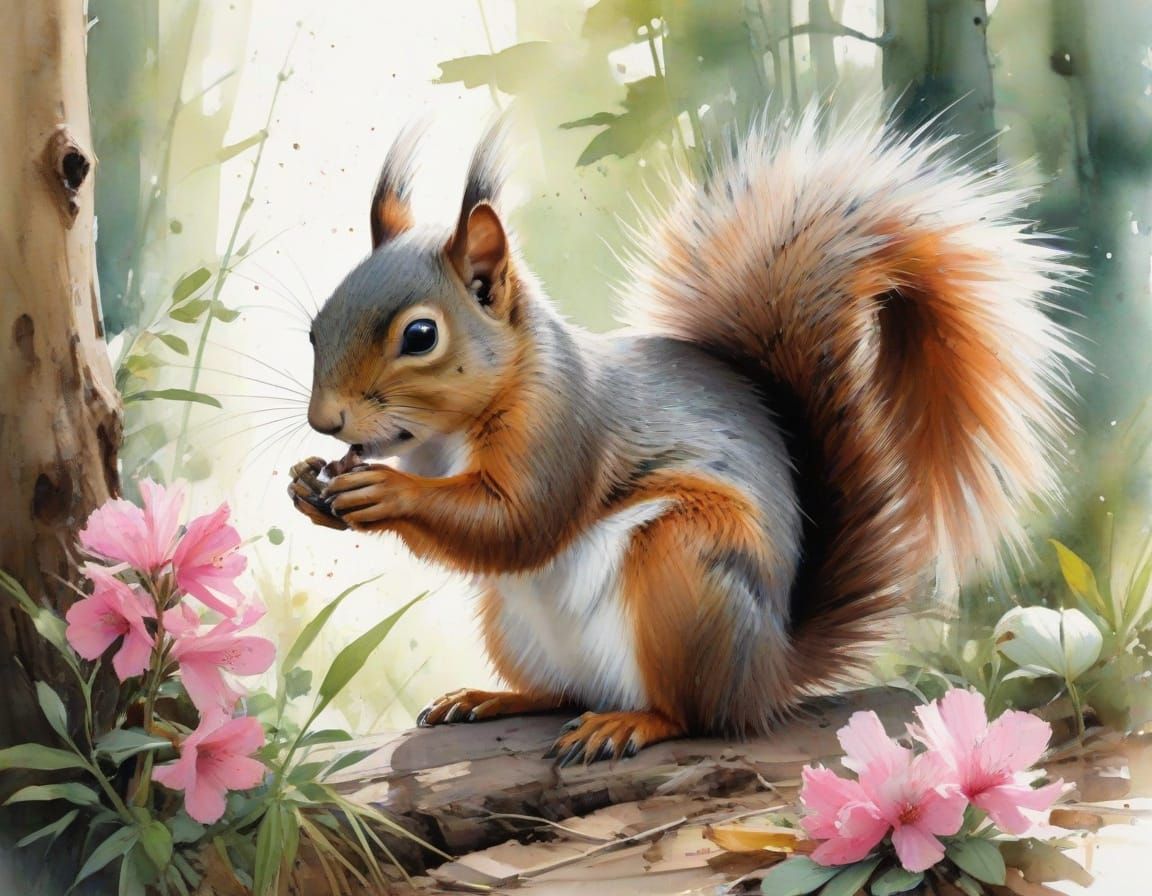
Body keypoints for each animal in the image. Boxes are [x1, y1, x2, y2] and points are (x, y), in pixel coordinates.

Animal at [288, 111, 1074, 765]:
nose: (326, 421)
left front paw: (386, 492)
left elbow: (520, 522)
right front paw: (306, 486)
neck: (446, 436)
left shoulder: (564, 428)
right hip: (513, 622)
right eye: (316, 326)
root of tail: (768, 669)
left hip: (684, 568)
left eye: (420, 335)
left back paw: (630, 723)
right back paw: (490, 698)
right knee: (565, 691)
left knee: (694, 714)